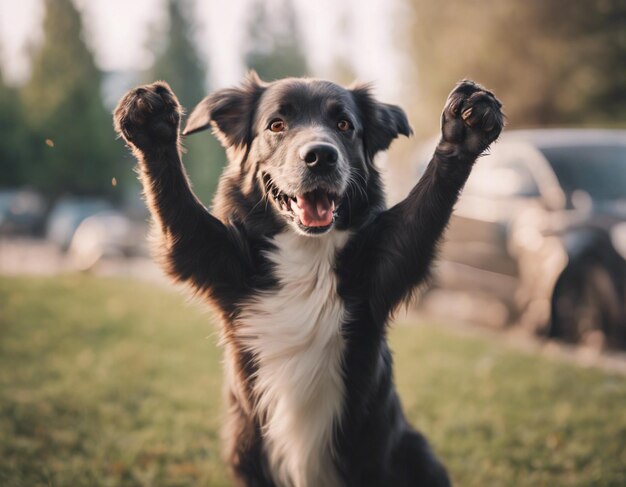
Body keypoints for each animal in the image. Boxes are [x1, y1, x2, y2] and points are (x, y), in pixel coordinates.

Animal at [112, 72, 502, 487]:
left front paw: (464, 131)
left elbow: (427, 204)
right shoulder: (211, 259)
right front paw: (152, 125)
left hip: (414, 454)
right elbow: (176, 203)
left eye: (344, 125)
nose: (321, 156)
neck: (306, 251)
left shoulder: (389, 262)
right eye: (276, 125)